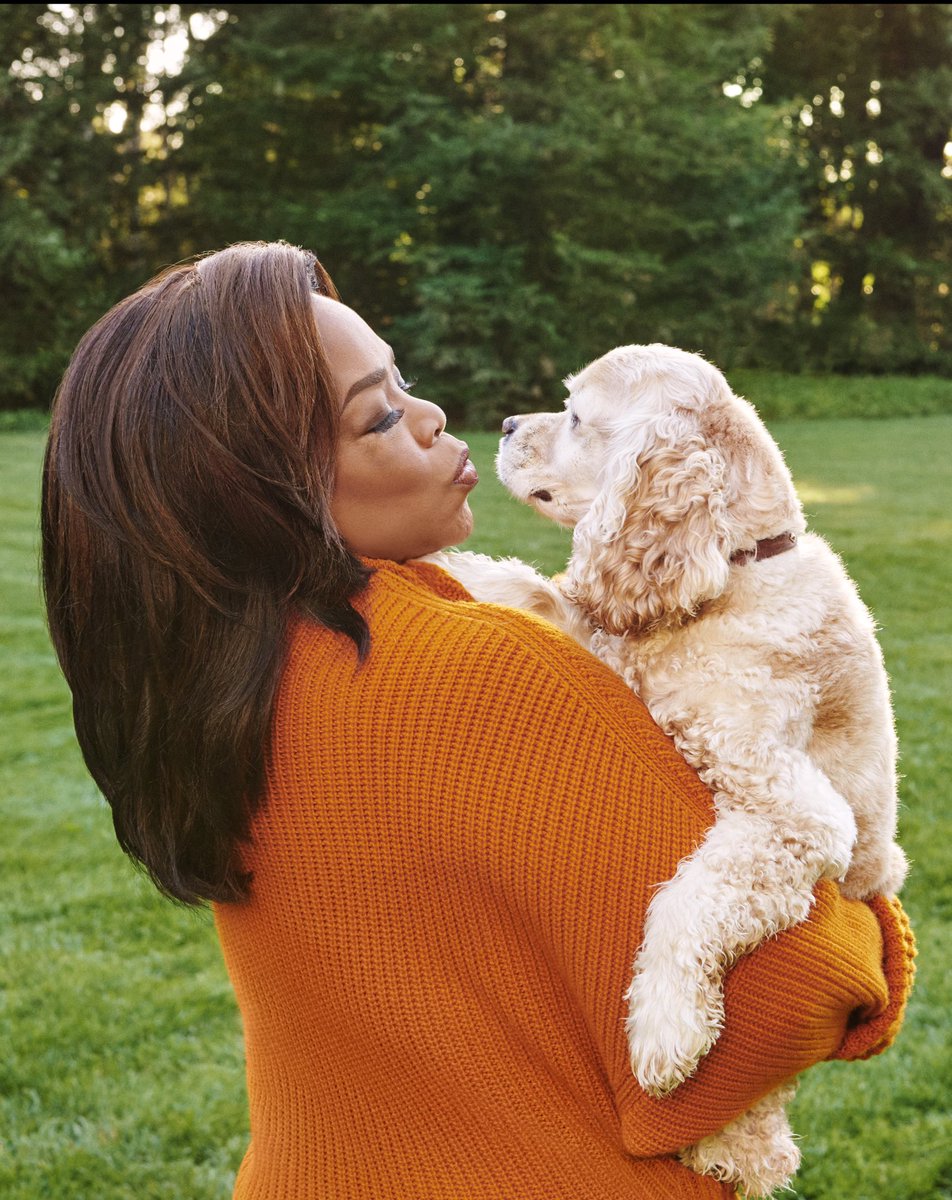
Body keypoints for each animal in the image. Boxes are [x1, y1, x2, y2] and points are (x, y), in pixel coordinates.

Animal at [424, 343, 907, 1195]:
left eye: (576, 415)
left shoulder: (792, 813)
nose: (506, 424)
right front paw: (452, 567)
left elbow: (689, 899)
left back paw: (734, 1147)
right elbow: (536, 594)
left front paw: (665, 1030)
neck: (732, 572)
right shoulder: (604, 645)